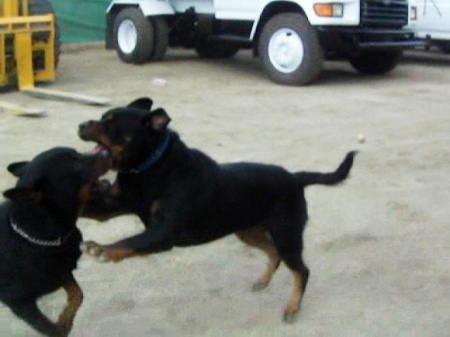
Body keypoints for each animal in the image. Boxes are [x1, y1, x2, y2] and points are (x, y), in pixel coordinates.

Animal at [1, 148, 110, 336]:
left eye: (78, 153)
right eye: (76, 165)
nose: (107, 151)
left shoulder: (63, 271)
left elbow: (77, 294)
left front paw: (65, 319)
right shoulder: (19, 302)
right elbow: (52, 330)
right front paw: (60, 326)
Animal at [79, 96, 356, 320]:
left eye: (110, 123)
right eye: (102, 118)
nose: (81, 125)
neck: (150, 167)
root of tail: (295, 178)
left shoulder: (163, 233)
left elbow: (132, 241)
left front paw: (104, 249)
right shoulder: (112, 204)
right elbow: (88, 208)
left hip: (286, 234)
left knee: (302, 270)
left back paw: (292, 307)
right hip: (248, 231)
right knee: (273, 253)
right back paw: (263, 281)